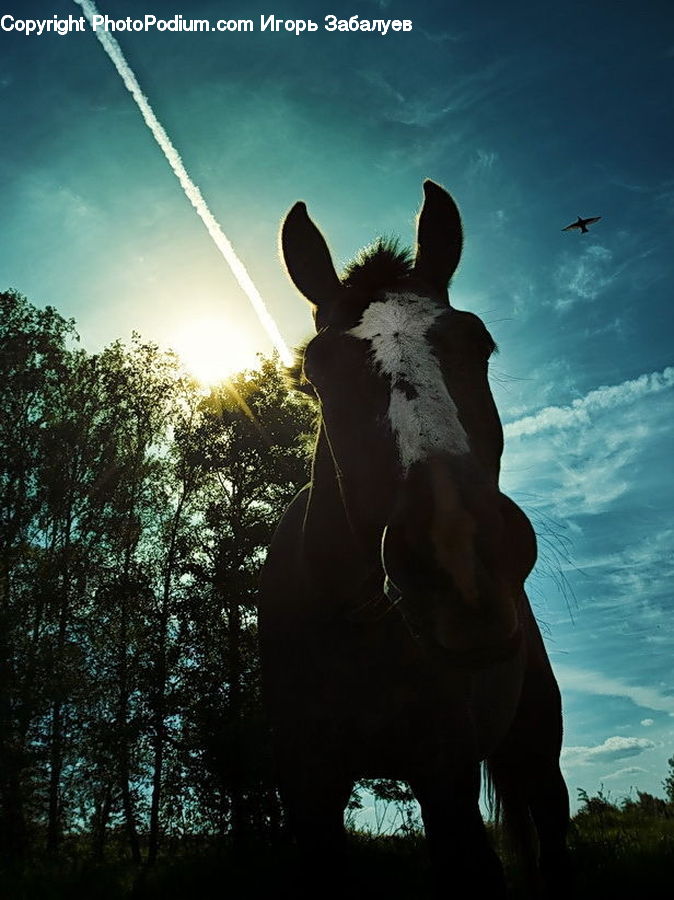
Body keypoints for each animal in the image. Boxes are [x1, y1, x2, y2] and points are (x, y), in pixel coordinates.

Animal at [258, 181, 570, 898]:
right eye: (316, 370)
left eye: (480, 344)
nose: (458, 550)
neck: (350, 628)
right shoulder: (307, 789)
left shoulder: (446, 778)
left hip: (538, 753)